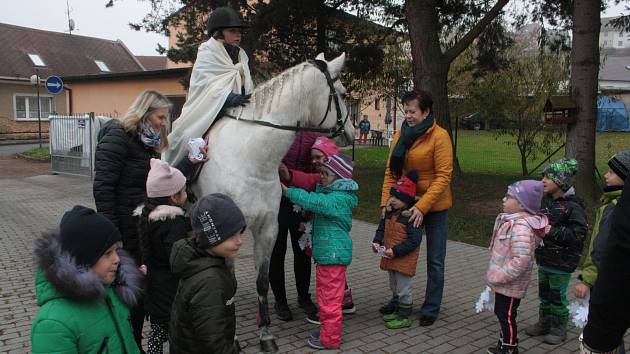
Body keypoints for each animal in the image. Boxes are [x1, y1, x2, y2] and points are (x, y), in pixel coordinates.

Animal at [193, 52, 356, 352]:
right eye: (342, 93)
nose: (350, 133)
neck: (251, 159)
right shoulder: (228, 236)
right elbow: (229, 284)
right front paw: (234, 338)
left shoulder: (268, 229)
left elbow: (262, 281)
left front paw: (266, 333)